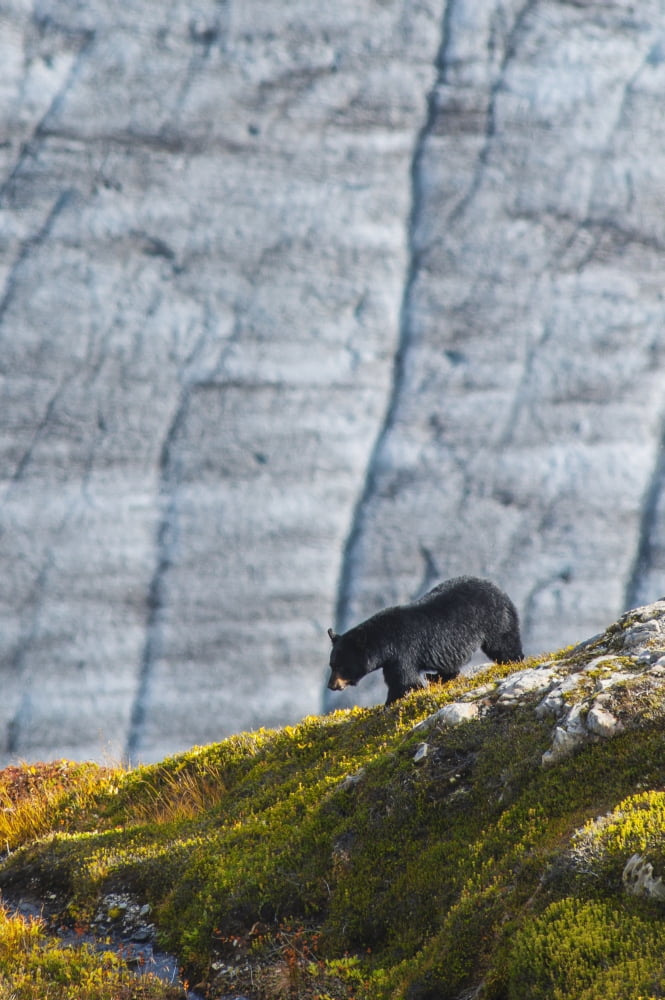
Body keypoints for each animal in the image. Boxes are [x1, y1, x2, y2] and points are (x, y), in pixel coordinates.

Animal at [327, 576, 524, 705]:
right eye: (331, 665)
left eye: (341, 666)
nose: (331, 685)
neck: (384, 640)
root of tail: (499, 589)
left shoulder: (403, 653)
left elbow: (404, 681)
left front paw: (389, 702)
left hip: (495, 620)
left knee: (504, 644)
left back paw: (514, 661)